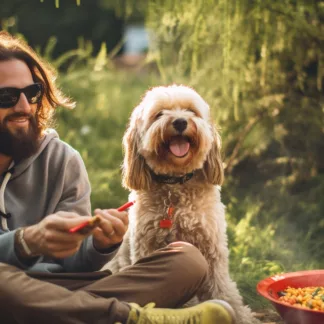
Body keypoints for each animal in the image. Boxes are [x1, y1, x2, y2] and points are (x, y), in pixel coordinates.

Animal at [104, 85, 260, 322]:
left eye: (191, 111)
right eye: (159, 114)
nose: (179, 122)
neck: (175, 187)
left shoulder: (212, 250)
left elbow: (223, 289)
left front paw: (238, 314)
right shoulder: (147, 246)